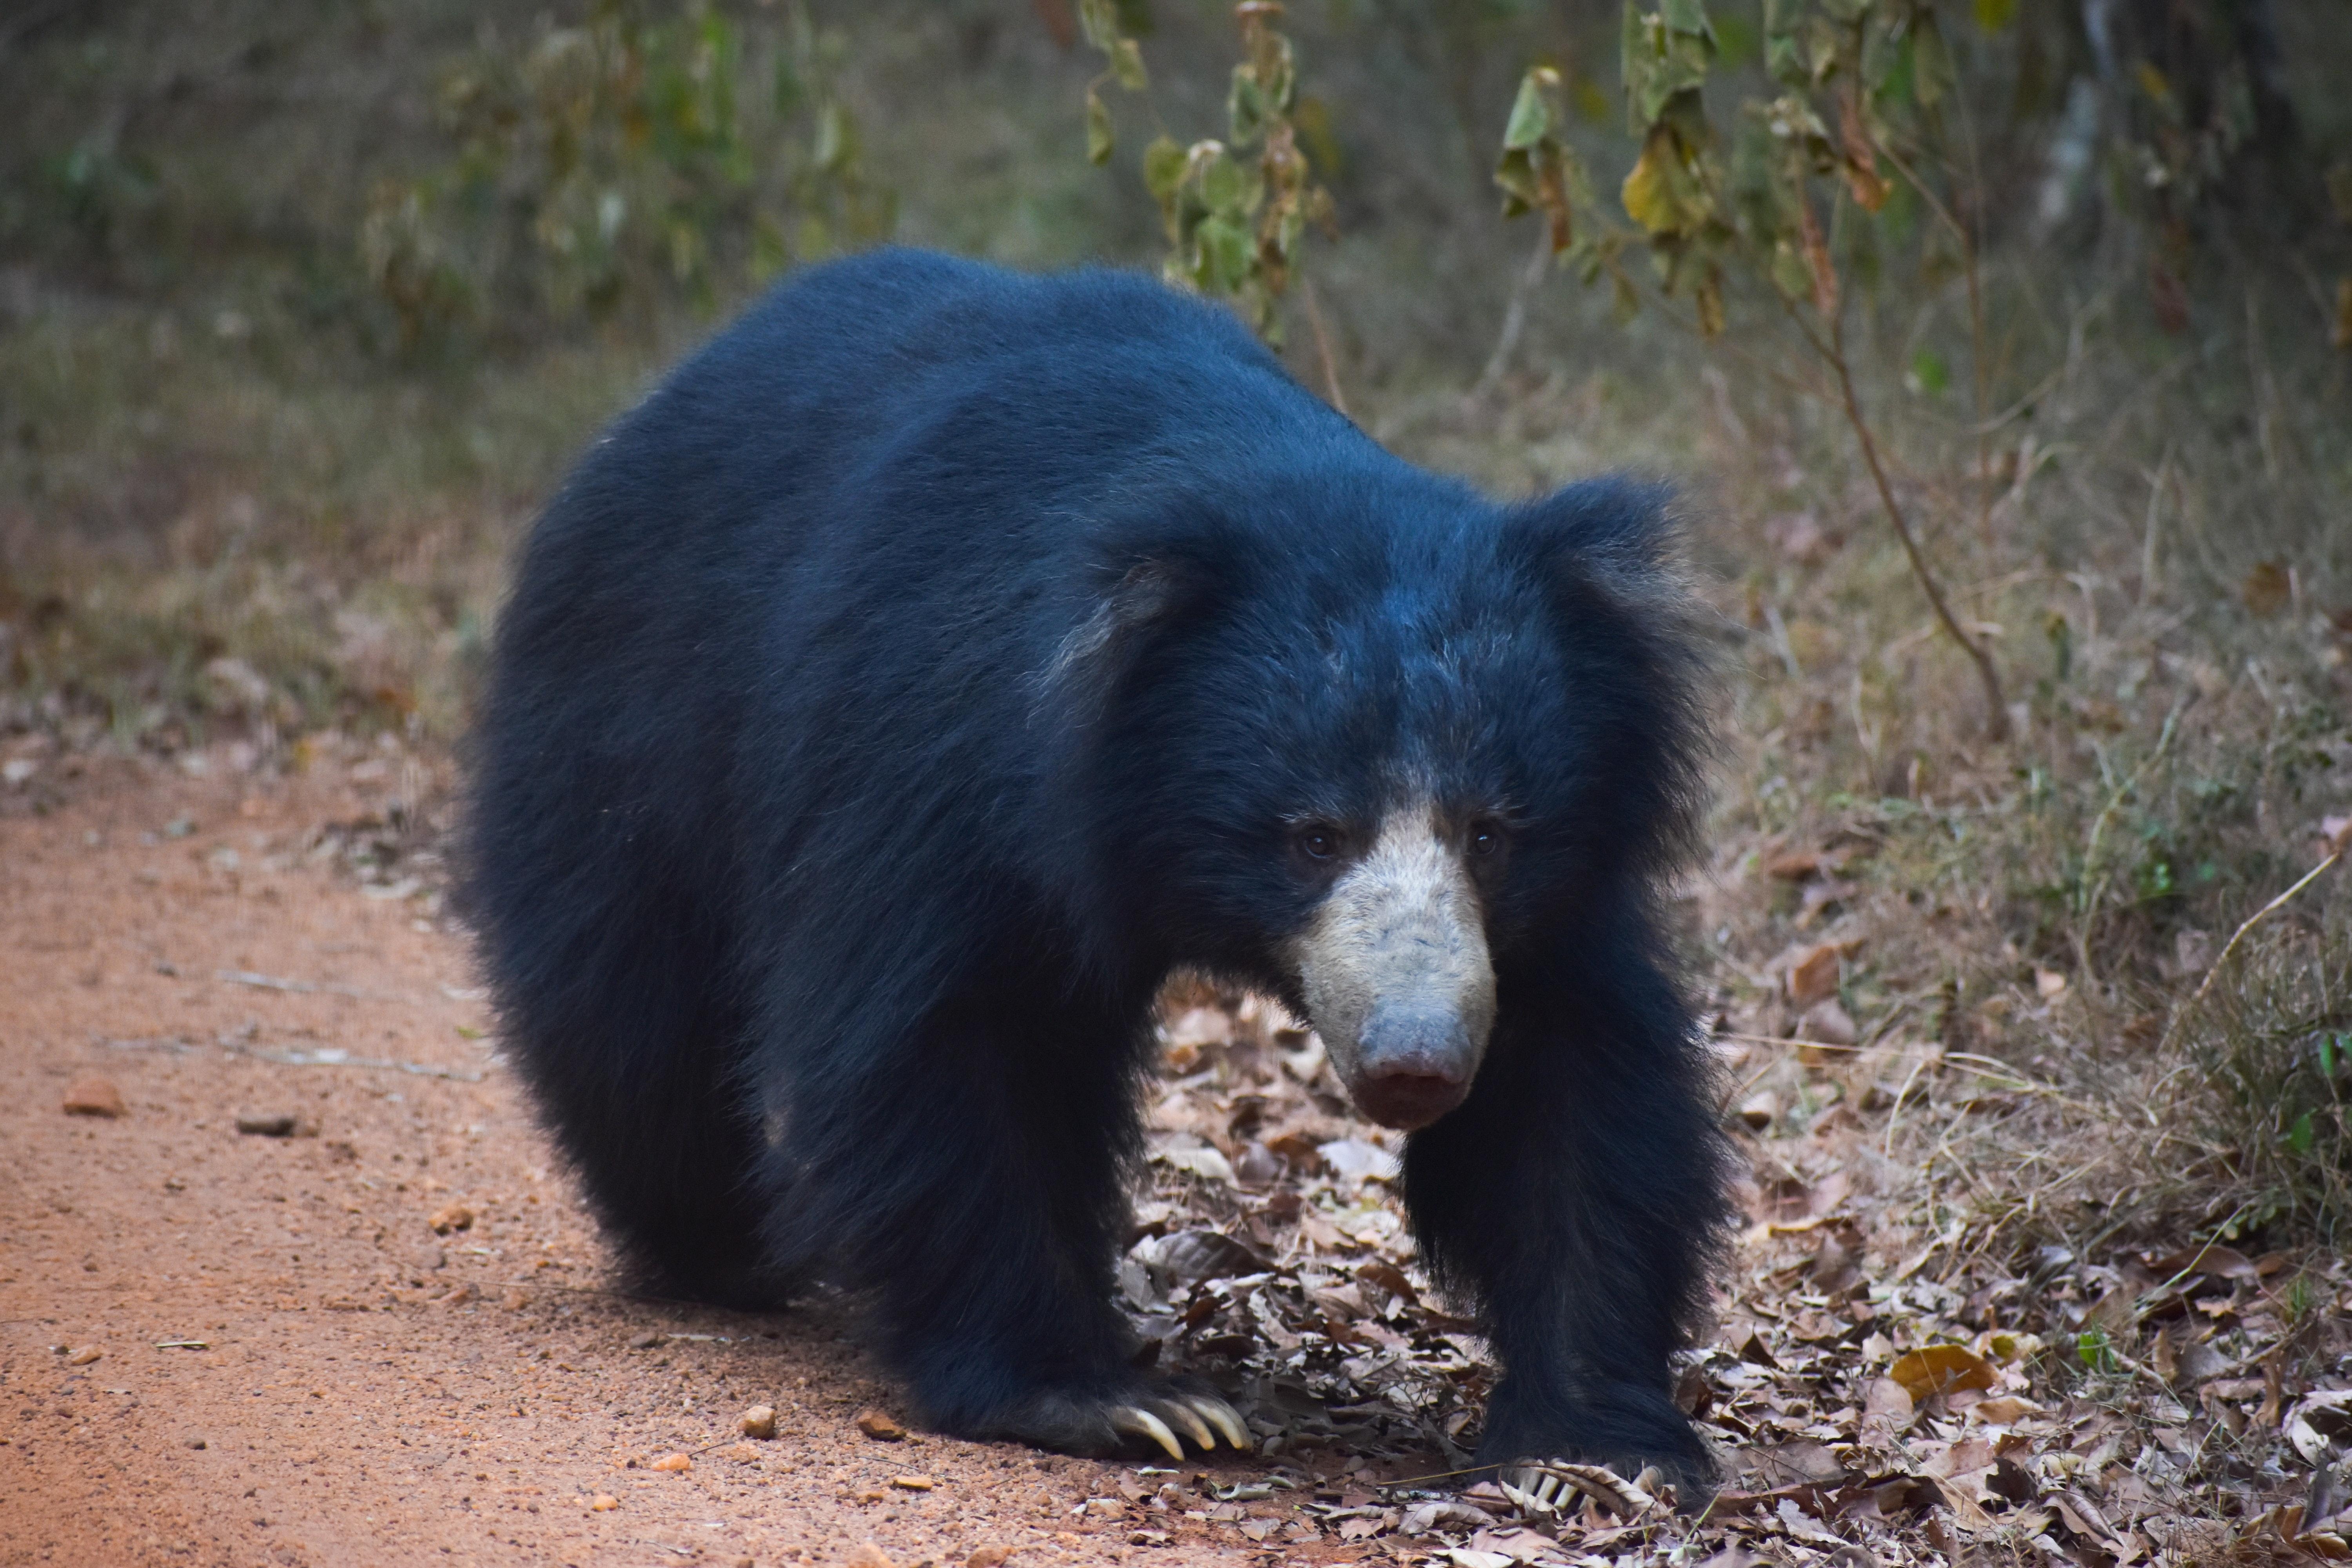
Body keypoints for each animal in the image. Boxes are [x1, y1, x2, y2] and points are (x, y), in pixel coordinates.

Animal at [473, 245, 1731, 1486]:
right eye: (1313, 835)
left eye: (1490, 831)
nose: (1414, 1065)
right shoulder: (934, 759)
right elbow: (951, 1042)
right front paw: (1116, 1400)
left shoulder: (1550, 898)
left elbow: (1571, 1073)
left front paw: (1589, 1441)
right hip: (627, 735)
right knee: (635, 1019)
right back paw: (720, 1250)